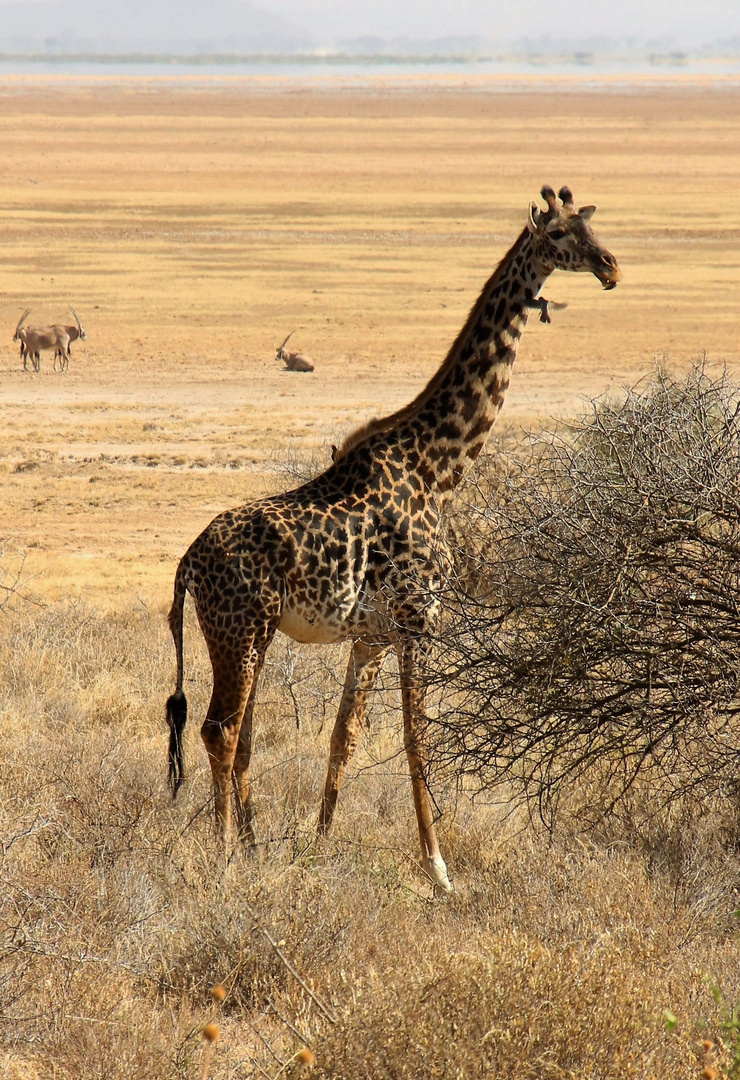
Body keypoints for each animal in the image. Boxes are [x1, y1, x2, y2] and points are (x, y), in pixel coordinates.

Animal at [166, 187, 617, 894]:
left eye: (593, 225)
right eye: (563, 235)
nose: (611, 266)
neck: (441, 464)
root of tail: (186, 562)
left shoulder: (373, 632)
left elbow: (344, 735)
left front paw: (318, 848)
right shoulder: (417, 614)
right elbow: (415, 735)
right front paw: (439, 870)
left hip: (250, 637)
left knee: (239, 737)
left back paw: (255, 845)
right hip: (240, 629)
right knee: (220, 729)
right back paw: (226, 855)